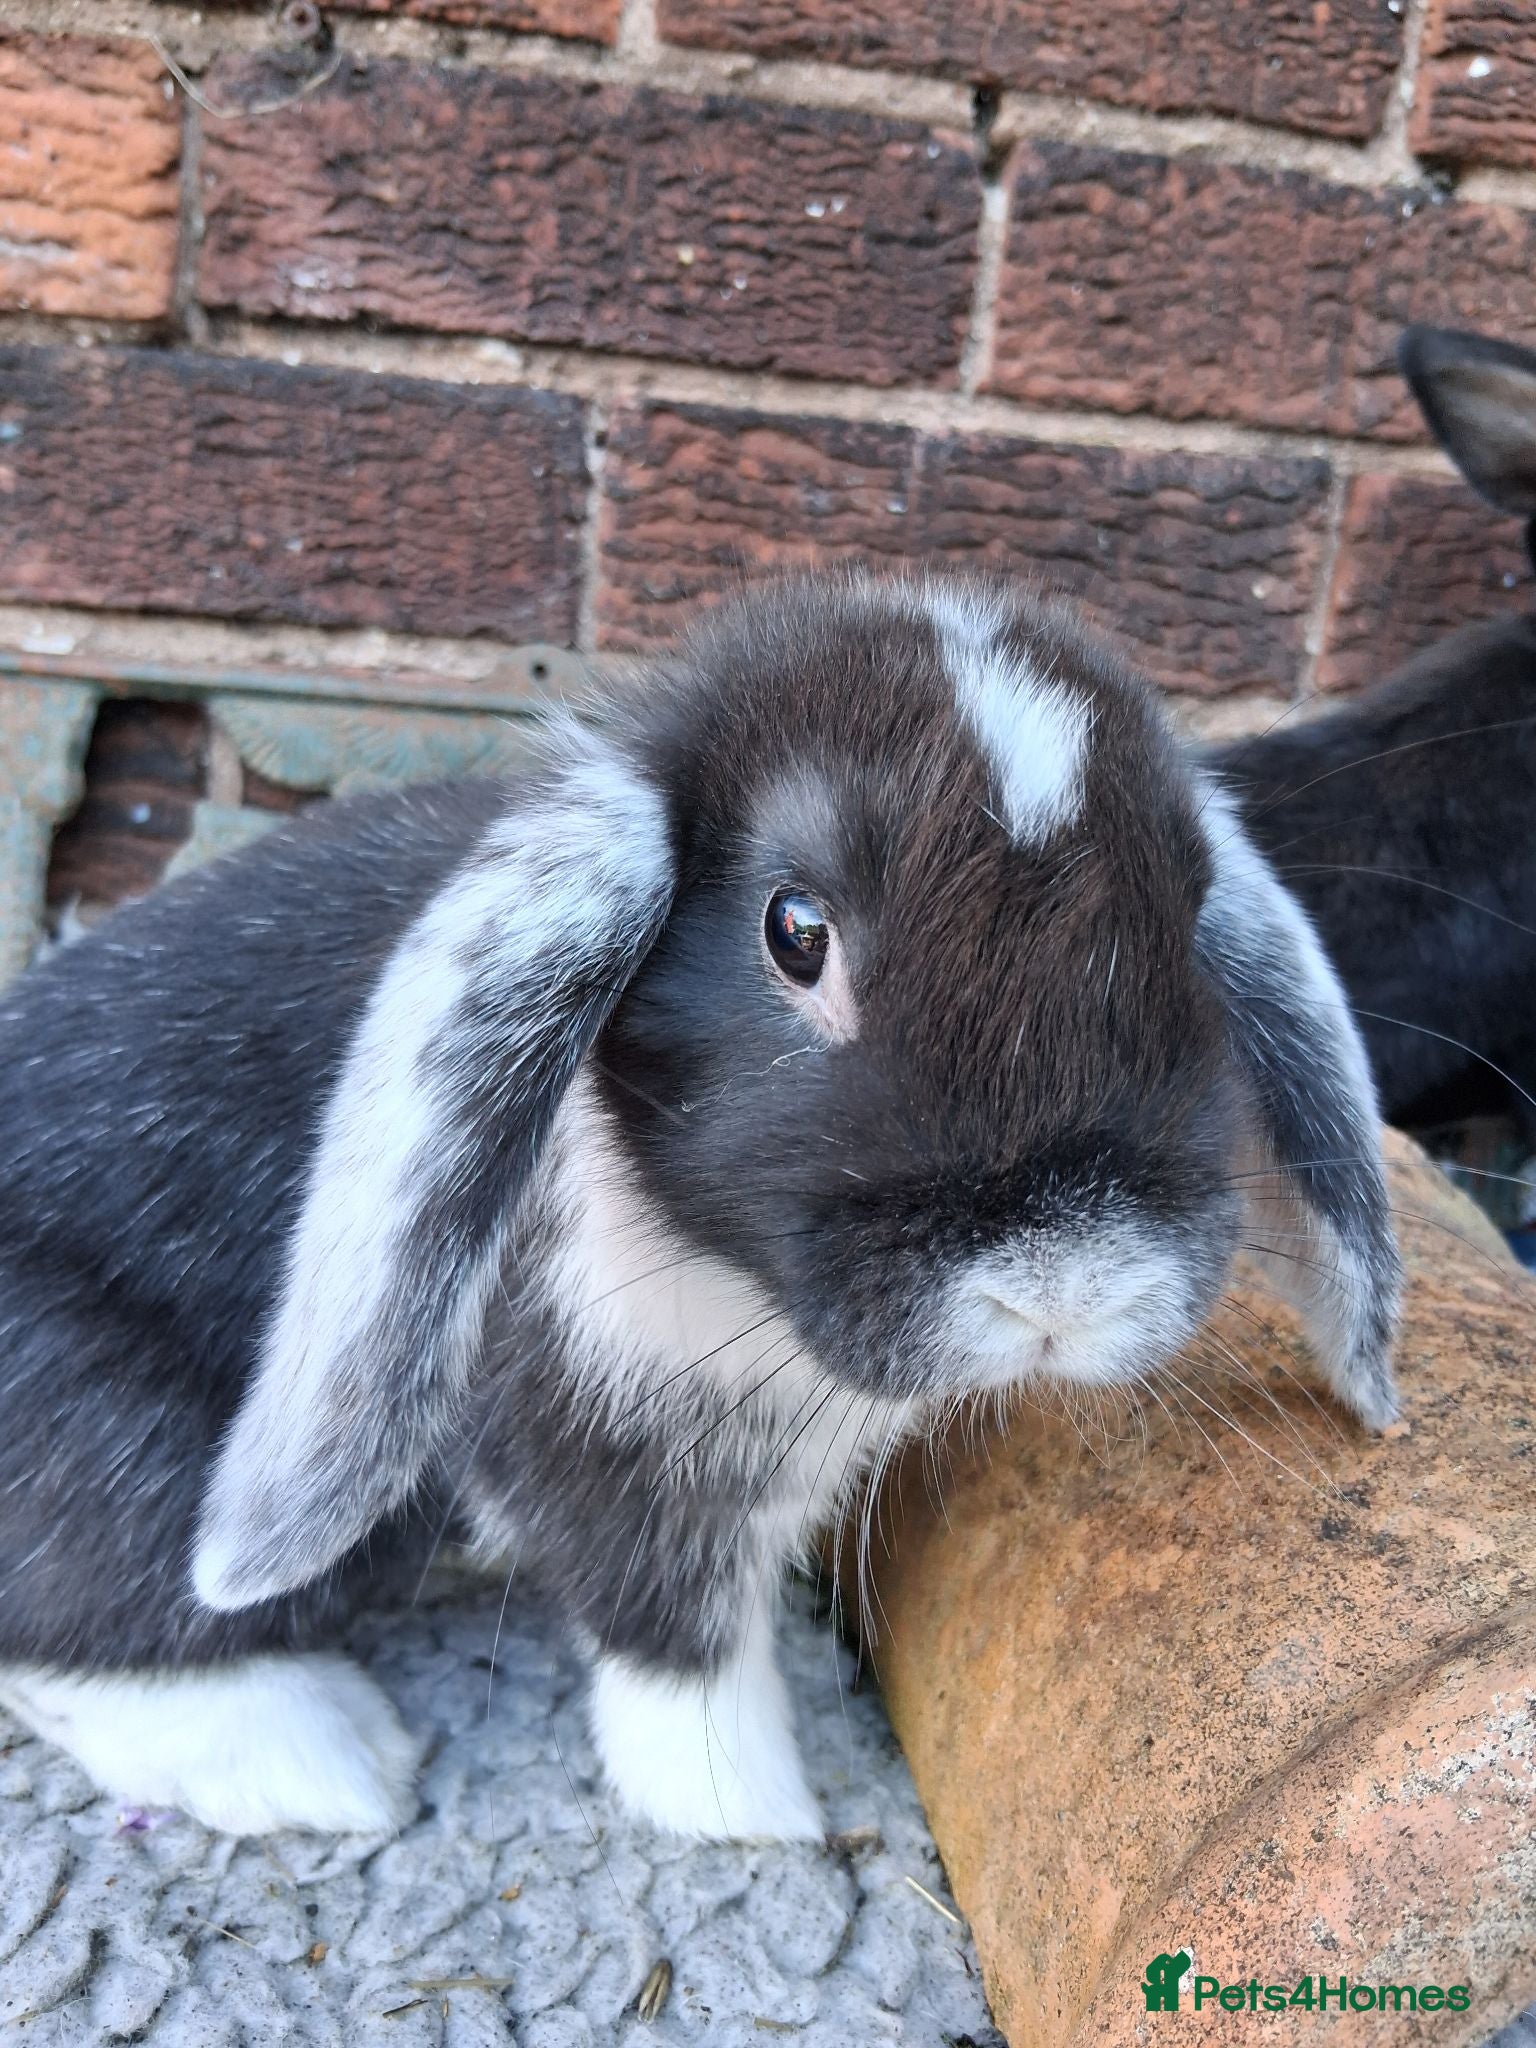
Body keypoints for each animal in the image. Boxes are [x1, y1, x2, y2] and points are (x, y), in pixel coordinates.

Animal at [0, 574, 1400, 1842]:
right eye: (795, 931)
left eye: (1189, 923)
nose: (1065, 1287)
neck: (752, 1299)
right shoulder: (616, 1462)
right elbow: (683, 1646)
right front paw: (760, 1820)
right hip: (117, 1441)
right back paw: (321, 1760)